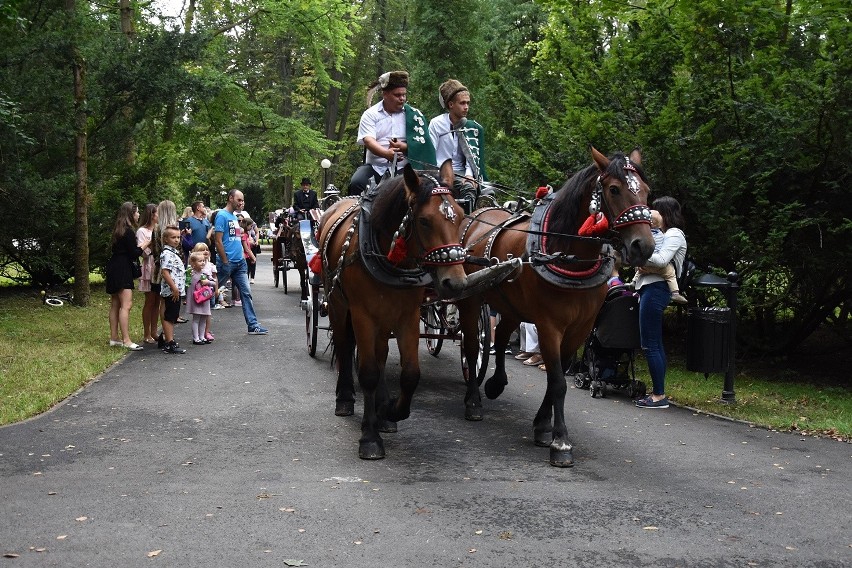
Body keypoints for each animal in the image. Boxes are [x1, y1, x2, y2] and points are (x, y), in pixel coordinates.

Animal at [316, 162, 492, 460]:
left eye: (458, 217)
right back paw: (345, 398)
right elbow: (368, 372)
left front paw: (390, 411)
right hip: (339, 304)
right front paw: (370, 437)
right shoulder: (363, 315)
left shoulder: (406, 316)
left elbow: (410, 374)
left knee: (381, 354)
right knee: (343, 344)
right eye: (424, 221)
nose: (455, 282)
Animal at [456, 146, 656, 466]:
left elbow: (555, 378)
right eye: (614, 189)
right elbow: (559, 381)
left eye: (646, 191)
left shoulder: (579, 329)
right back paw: (473, 400)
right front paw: (561, 441)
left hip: (511, 304)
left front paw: (542, 426)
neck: (570, 256)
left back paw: (496, 383)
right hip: (471, 298)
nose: (644, 246)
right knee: (474, 346)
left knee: (502, 336)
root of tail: (477, 213)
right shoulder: (550, 326)